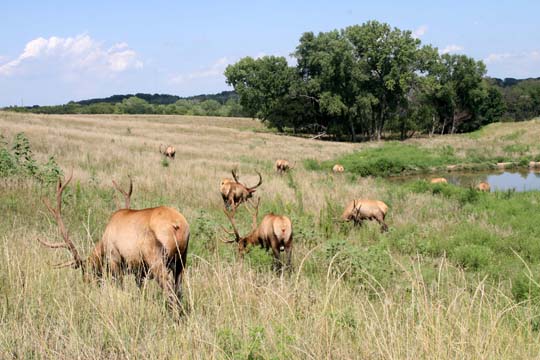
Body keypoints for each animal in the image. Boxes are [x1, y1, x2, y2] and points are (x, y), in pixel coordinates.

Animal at [38, 173, 190, 308]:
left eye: (87, 270)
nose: (86, 283)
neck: (103, 245)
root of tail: (178, 224)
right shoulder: (139, 271)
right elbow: (140, 292)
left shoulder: (115, 259)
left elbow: (120, 288)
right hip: (181, 261)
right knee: (179, 291)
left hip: (156, 260)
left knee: (170, 292)